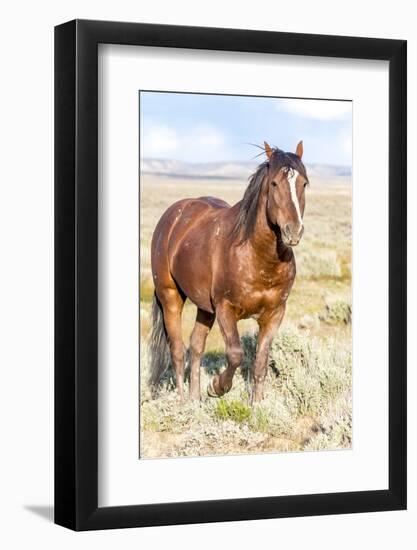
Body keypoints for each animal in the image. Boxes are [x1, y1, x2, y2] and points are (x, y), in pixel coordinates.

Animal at [148, 140, 308, 404]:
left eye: (304, 183)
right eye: (274, 183)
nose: (293, 231)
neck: (259, 258)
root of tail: (174, 215)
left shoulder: (275, 313)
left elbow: (260, 363)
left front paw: (257, 405)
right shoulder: (225, 308)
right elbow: (235, 354)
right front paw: (217, 387)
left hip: (204, 308)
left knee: (196, 345)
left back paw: (195, 399)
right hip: (170, 296)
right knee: (178, 350)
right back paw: (182, 402)